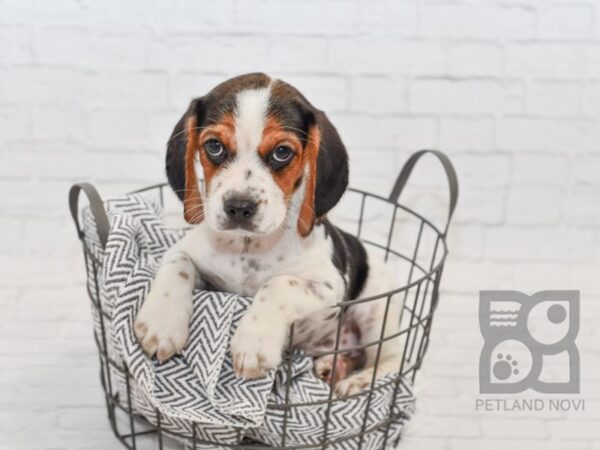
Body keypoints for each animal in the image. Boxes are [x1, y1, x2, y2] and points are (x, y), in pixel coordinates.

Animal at [134, 72, 406, 396]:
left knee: (389, 360)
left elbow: (278, 284)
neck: (248, 248)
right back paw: (333, 365)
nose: (239, 207)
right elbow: (177, 265)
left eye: (282, 152)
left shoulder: (330, 285)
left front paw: (254, 342)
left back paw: (356, 381)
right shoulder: (188, 253)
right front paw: (161, 323)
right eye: (214, 146)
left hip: (376, 314)